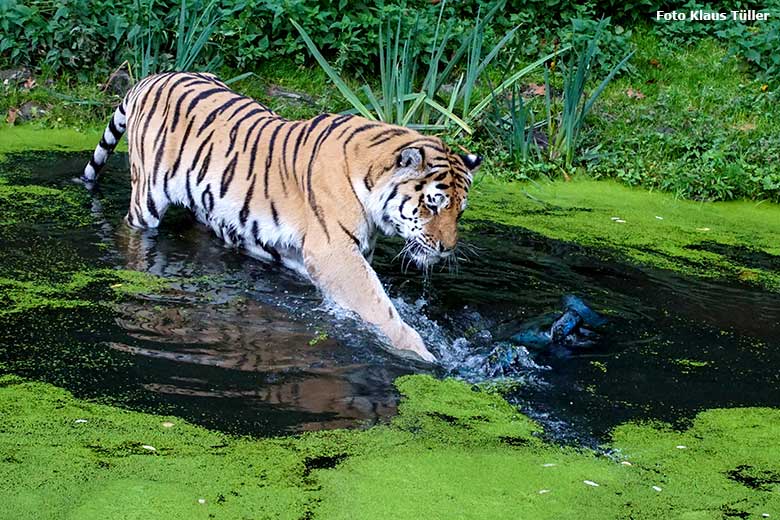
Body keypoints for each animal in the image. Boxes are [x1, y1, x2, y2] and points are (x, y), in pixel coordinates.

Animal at [80, 71, 482, 364]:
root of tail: (151, 78)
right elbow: (377, 305)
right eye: (433, 204)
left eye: (459, 211)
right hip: (146, 200)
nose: (447, 249)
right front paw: (420, 352)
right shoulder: (335, 253)